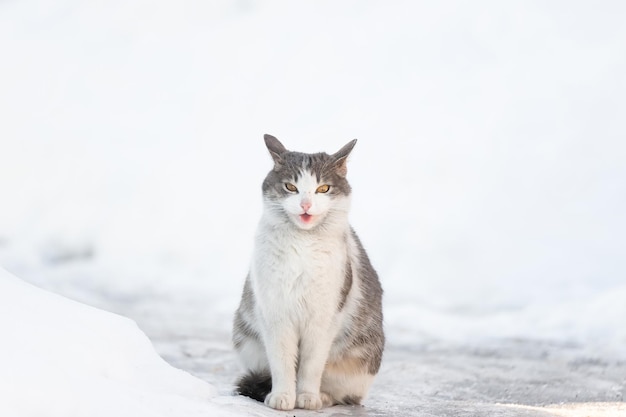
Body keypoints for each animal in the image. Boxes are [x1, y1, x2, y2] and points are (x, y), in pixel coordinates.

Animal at [232, 134, 382, 410]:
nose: (306, 204)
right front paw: (282, 396)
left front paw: (307, 397)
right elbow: (282, 362)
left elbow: (311, 366)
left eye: (323, 189)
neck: (302, 245)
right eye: (291, 187)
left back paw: (323, 397)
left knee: (344, 394)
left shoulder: (323, 319)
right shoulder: (275, 315)